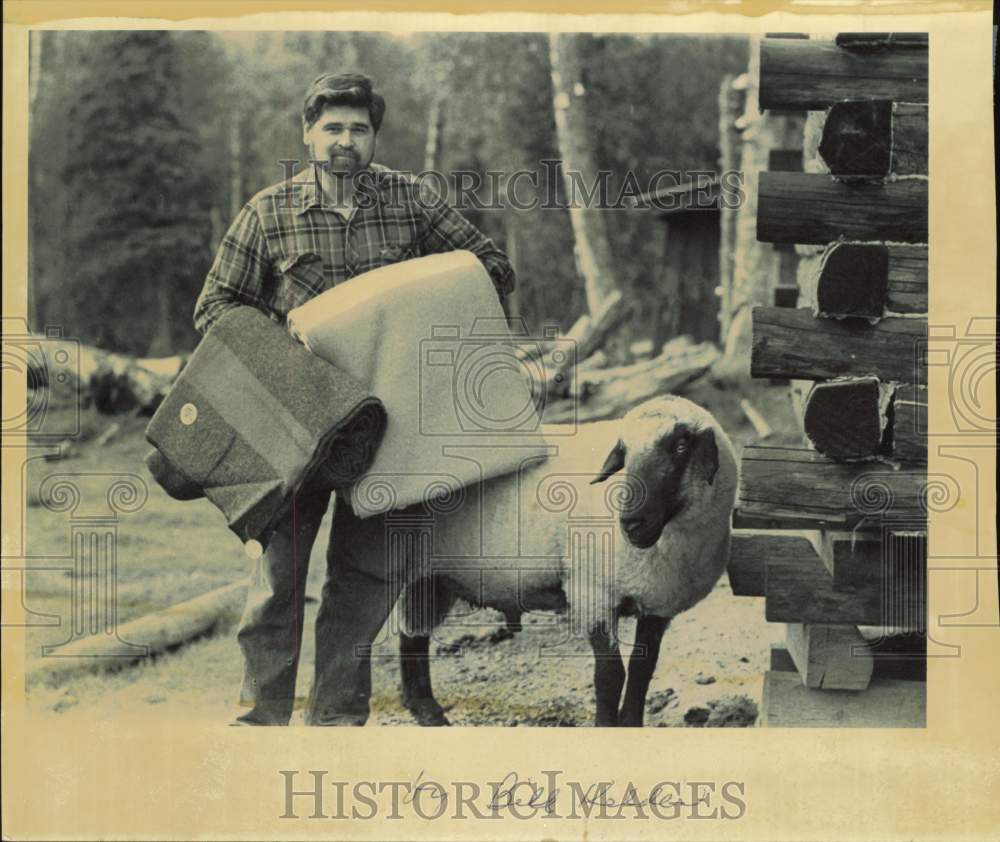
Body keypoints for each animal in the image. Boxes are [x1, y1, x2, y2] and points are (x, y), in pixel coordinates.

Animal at [394, 394, 740, 728]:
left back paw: (424, 709)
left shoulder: (657, 603)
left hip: (431, 579)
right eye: (625, 453)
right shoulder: (592, 593)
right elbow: (610, 675)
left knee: (413, 636)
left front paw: (631, 724)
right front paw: (606, 727)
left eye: (680, 447)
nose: (631, 523)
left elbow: (642, 671)